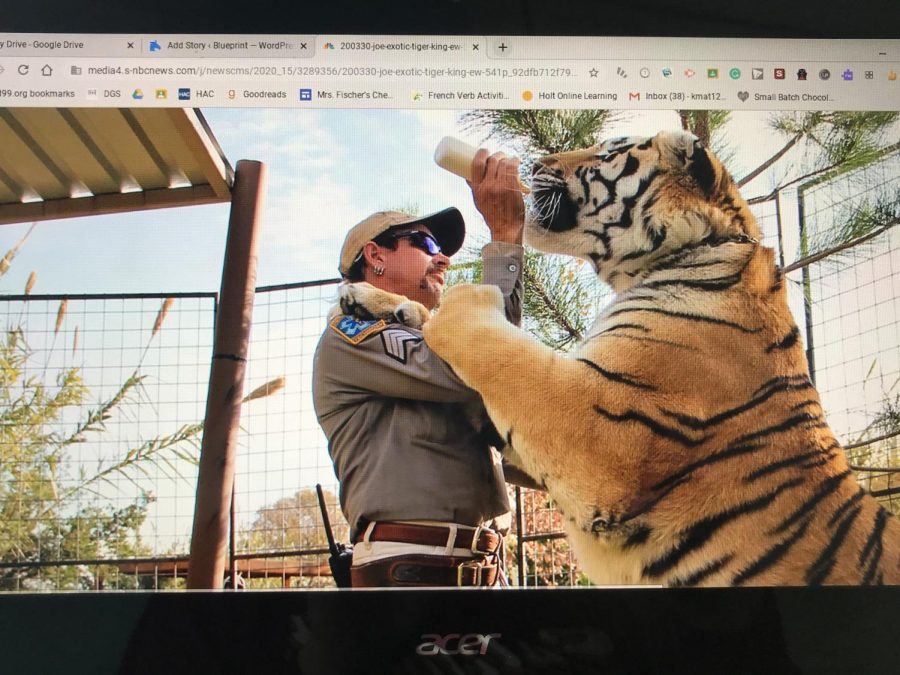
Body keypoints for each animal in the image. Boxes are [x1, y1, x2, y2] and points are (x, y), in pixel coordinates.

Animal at [416, 128, 900, 588]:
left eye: (608, 152)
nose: (534, 165)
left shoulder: (598, 425)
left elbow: (504, 351)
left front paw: (459, 299)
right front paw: (400, 306)